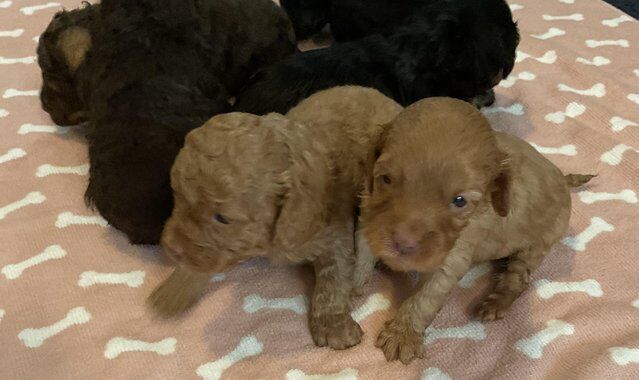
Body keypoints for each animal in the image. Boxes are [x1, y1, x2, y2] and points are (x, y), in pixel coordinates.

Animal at [148, 86, 402, 350]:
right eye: (177, 194)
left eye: (222, 218)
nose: (171, 248)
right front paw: (175, 289)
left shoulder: (333, 231)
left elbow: (333, 277)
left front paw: (334, 325)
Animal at [360, 97, 596, 362]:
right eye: (386, 179)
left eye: (459, 201)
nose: (403, 243)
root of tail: (563, 179)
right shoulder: (369, 213)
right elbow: (360, 255)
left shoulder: (453, 256)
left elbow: (426, 297)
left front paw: (403, 334)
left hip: (540, 242)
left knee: (519, 277)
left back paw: (496, 303)